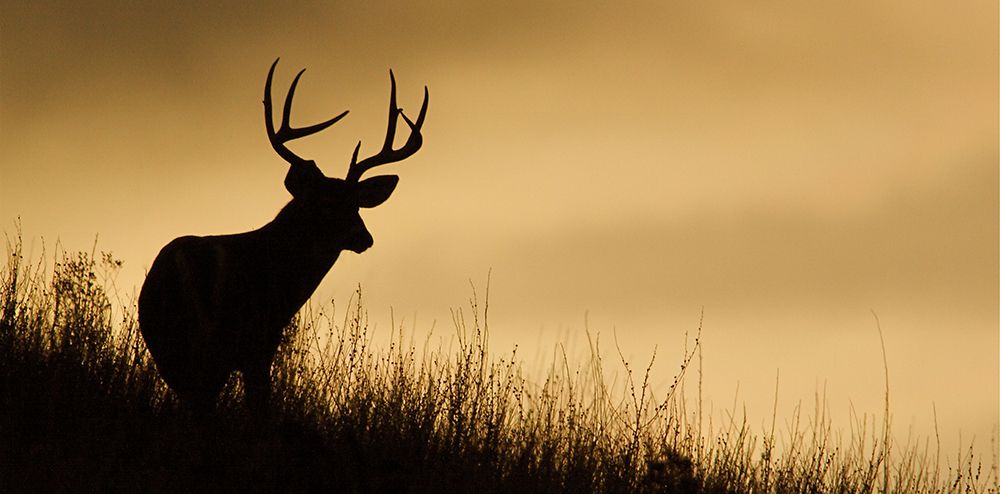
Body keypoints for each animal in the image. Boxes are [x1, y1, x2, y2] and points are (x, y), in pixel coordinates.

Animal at [137, 58, 427, 413]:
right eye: (326, 203)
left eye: (356, 204)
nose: (364, 237)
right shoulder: (261, 343)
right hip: (216, 341)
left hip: (169, 345)